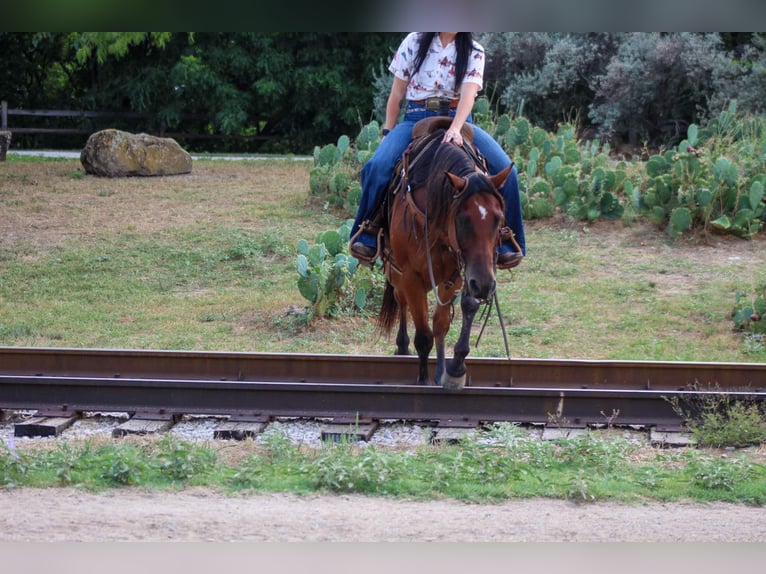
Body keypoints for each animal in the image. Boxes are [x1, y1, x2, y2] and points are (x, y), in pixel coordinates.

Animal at [378, 118, 511, 391]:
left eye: (499, 218)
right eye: (462, 219)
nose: (485, 284)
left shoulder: (458, 274)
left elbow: (442, 324)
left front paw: (449, 371)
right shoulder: (410, 276)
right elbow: (423, 337)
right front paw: (422, 380)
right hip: (394, 271)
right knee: (400, 300)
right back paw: (402, 347)